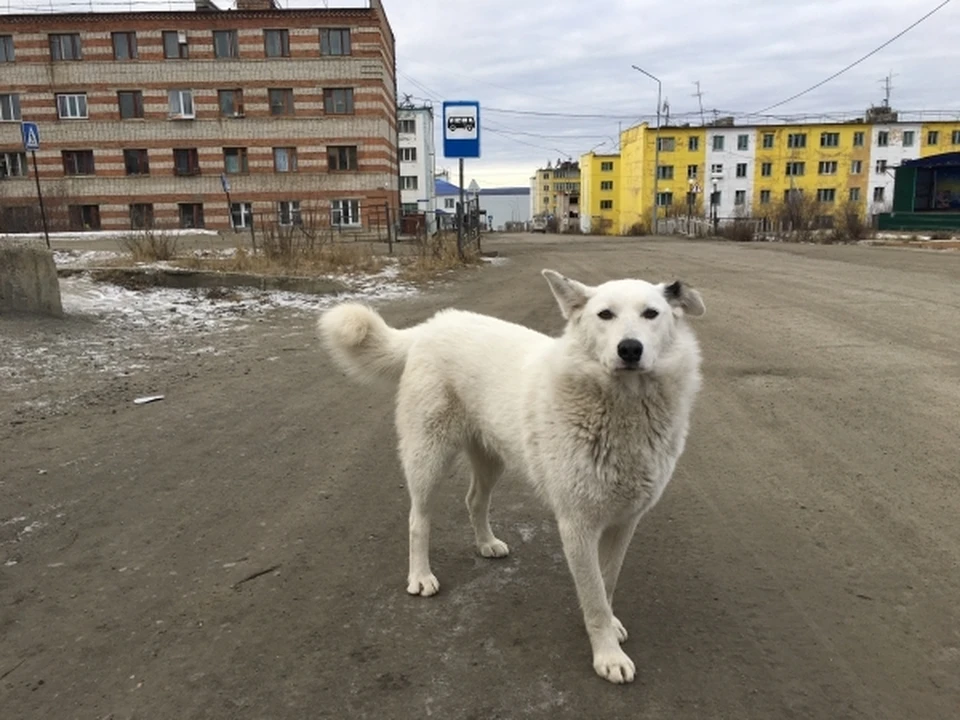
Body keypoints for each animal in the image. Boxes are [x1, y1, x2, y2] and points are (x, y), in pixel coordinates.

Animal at [320, 268, 704, 680]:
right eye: (605, 315)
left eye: (651, 314)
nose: (630, 349)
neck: (621, 406)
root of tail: (430, 326)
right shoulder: (577, 525)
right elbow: (594, 598)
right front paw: (608, 655)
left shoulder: (625, 521)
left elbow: (608, 582)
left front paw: (612, 628)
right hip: (429, 456)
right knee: (418, 519)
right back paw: (420, 576)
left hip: (491, 459)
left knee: (474, 500)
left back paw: (487, 543)